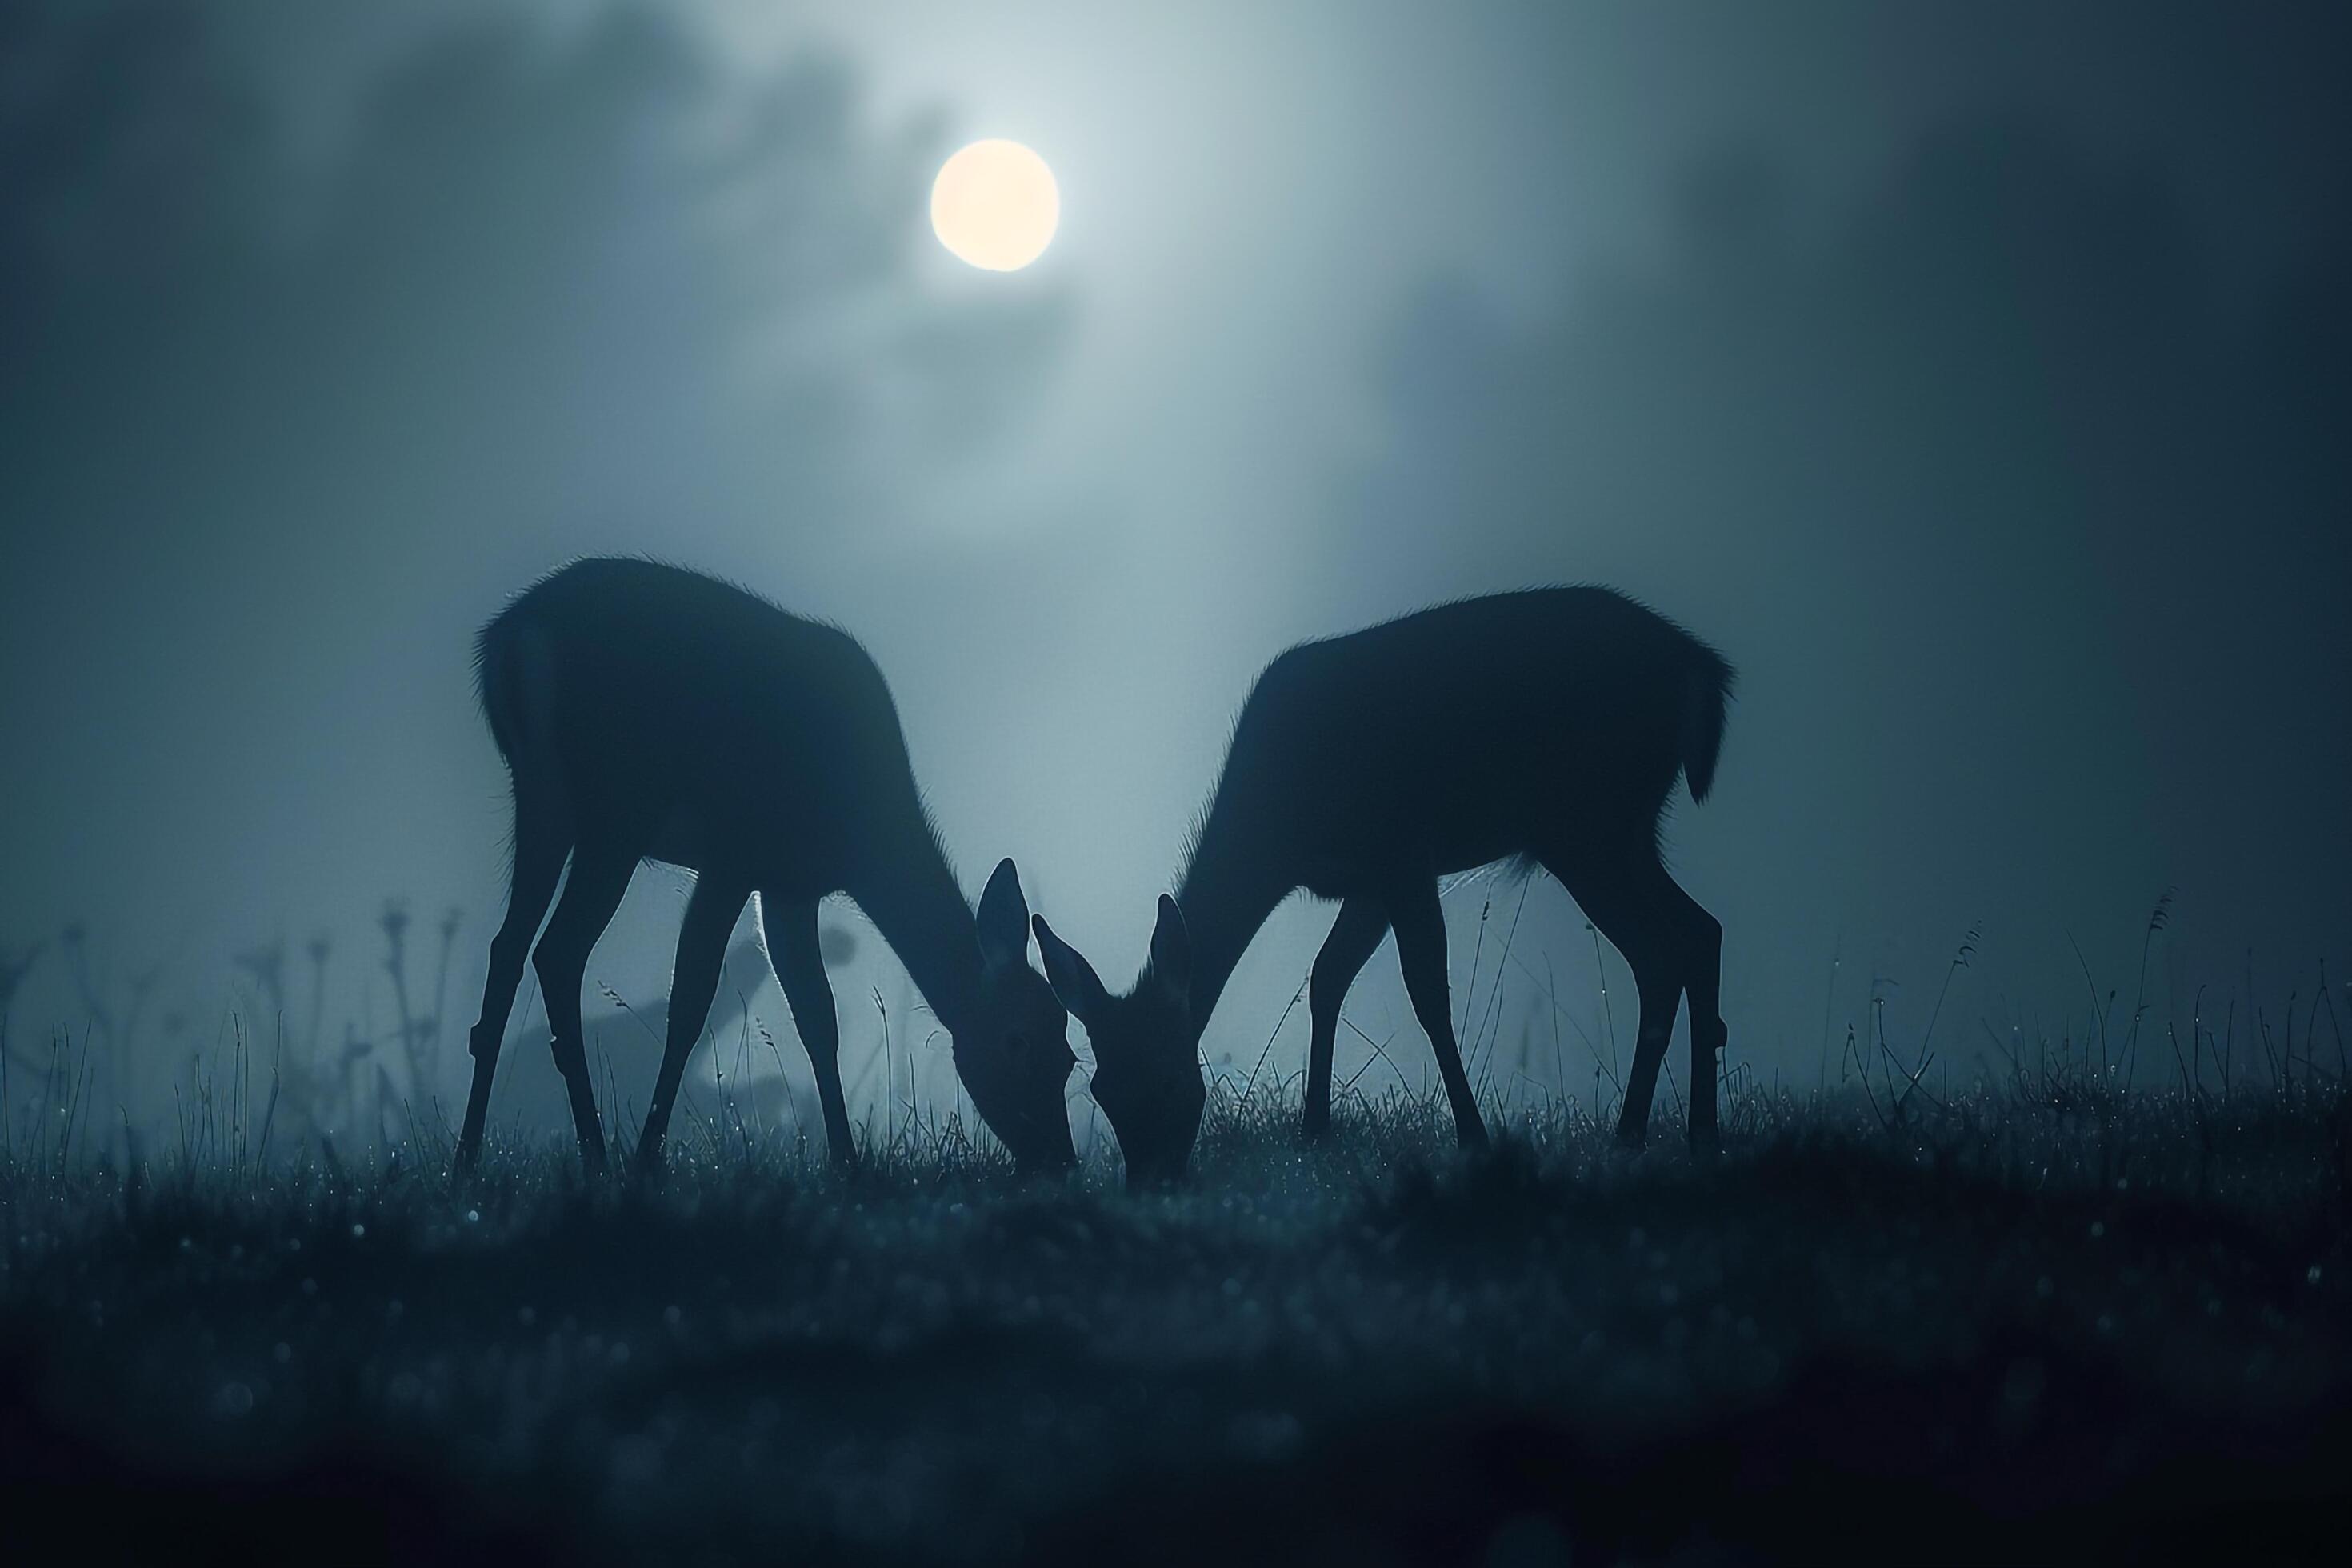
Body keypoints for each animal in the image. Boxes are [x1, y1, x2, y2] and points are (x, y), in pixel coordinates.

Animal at [451, 564, 1077, 1175]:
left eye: (1070, 1052)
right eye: (1017, 1040)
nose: (1058, 1157)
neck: (862, 839)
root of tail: (510, 640)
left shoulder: (787, 887)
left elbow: (818, 1018)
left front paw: (846, 1162)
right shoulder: (735, 855)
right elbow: (692, 1000)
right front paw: (649, 1155)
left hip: (544, 800)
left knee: (508, 949)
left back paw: (469, 1153)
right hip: (619, 807)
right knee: (557, 951)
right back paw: (597, 1155)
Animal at [1030, 587, 1730, 1175]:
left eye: (1172, 1079)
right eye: (1100, 1087)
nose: (1152, 1180)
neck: (1278, 829)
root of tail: (1701, 667)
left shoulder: (1401, 855)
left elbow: (1427, 995)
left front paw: (1473, 1136)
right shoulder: (1364, 884)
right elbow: (1327, 978)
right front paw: (1314, 1130)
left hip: (1585, 822)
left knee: (1659, 951)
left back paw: (1633, 1131)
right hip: (1629, 829)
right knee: (1700, 930)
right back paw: (1698, 1130)